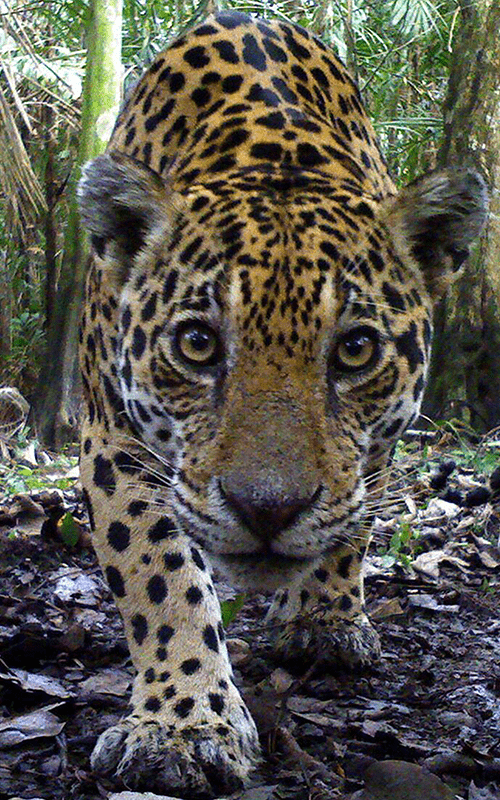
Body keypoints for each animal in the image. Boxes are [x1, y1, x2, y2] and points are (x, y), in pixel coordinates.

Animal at [77, 10, 487, 798]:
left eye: (355, 350)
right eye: (198, 343)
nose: (267, 509)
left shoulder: (371, 451)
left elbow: (353, 518)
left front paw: (326, 619)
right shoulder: (115, 442)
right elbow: (159, 576)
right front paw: (183, 726)